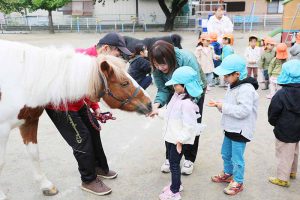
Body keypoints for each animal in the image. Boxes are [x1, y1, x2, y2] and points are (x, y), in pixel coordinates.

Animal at [0, 39, 151, 199]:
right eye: (124, 83)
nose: (149, 103)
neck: (24, 78)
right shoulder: (3, 129)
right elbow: (1, 161)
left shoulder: (30, 121)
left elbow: (34, 154)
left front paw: (46, 185)